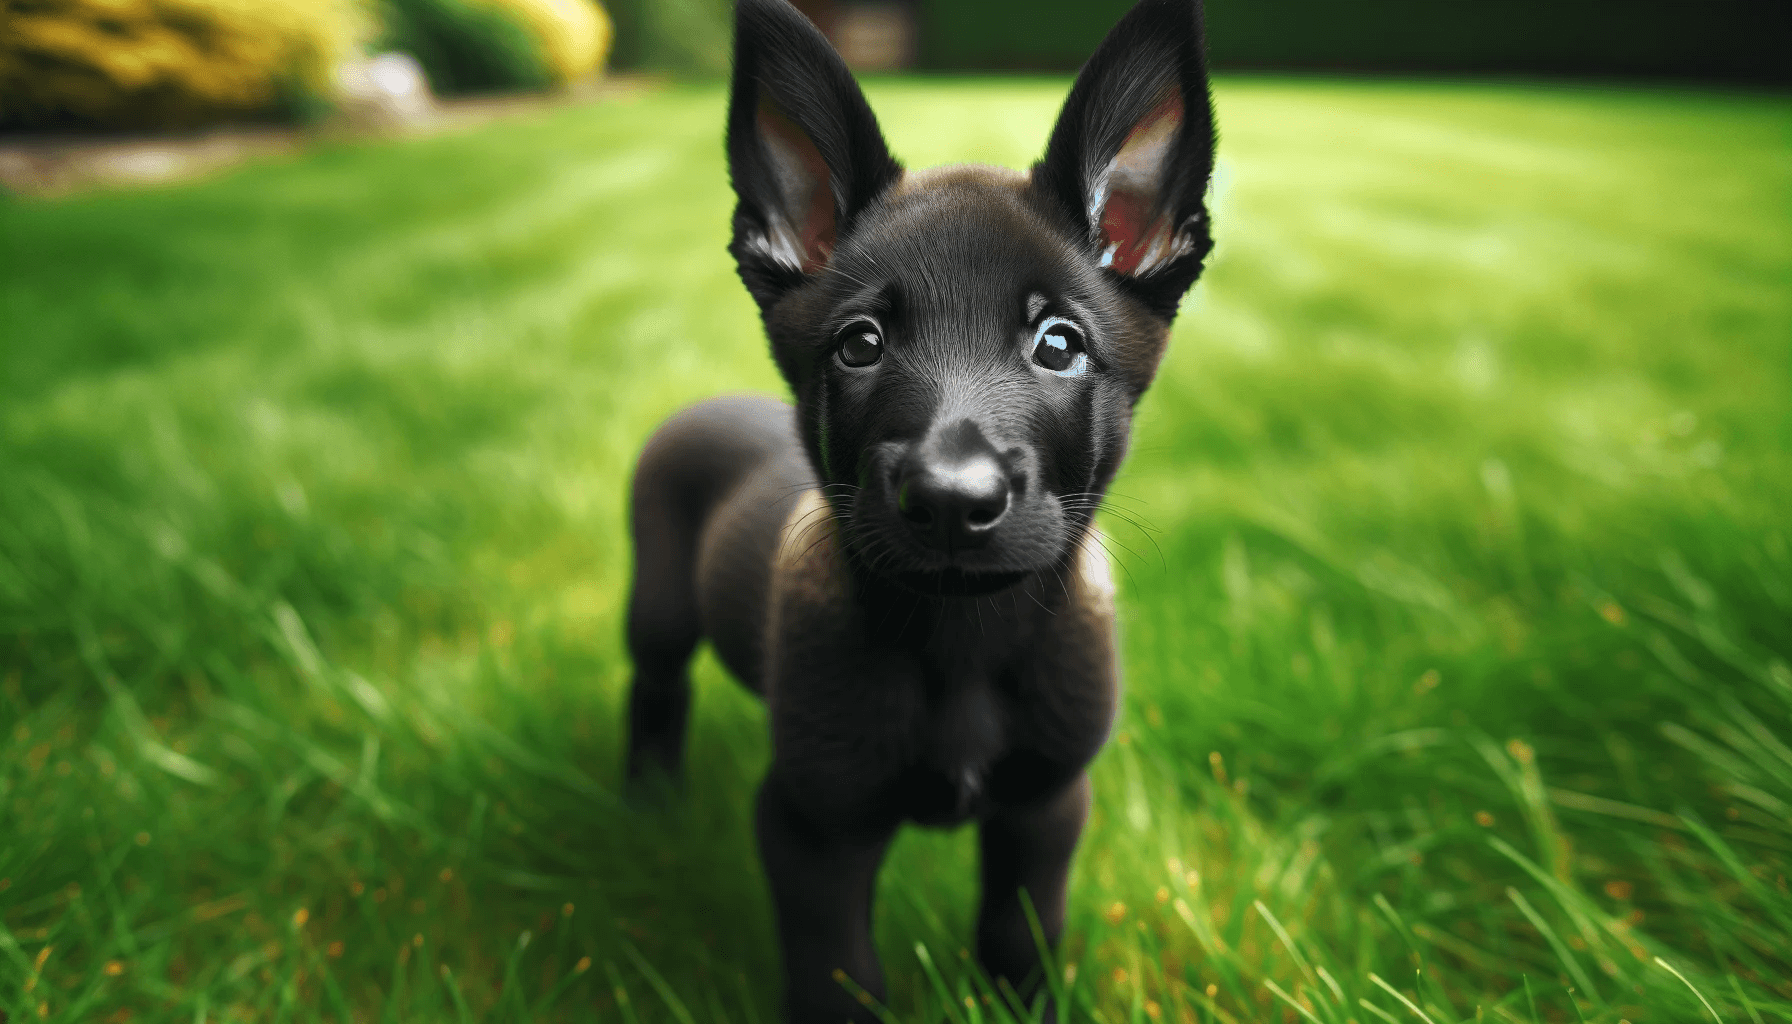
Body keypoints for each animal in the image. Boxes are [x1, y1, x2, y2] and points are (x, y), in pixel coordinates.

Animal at [620, 2, 1218, 1018]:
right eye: (860, 345)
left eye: (1060, 344)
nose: (949, 502)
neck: (965, 641)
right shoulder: (812, 824)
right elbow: (841, 977)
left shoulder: (1045, 805)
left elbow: (1020, 935)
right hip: (657, 609)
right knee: (655, 690)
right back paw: (649, 804)